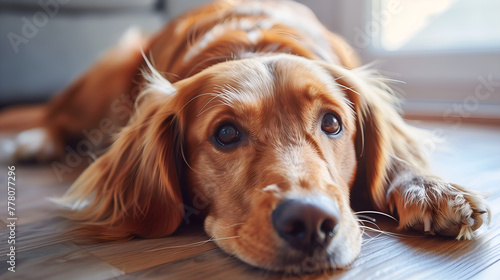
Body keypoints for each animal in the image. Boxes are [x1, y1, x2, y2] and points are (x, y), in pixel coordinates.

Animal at [0, 0, 490, 272]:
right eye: (226, 133)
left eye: (332, 124)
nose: (310, 223)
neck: (254, 42)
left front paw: (430, 189)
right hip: (102, 81)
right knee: (55, 115)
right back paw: (32, 141)